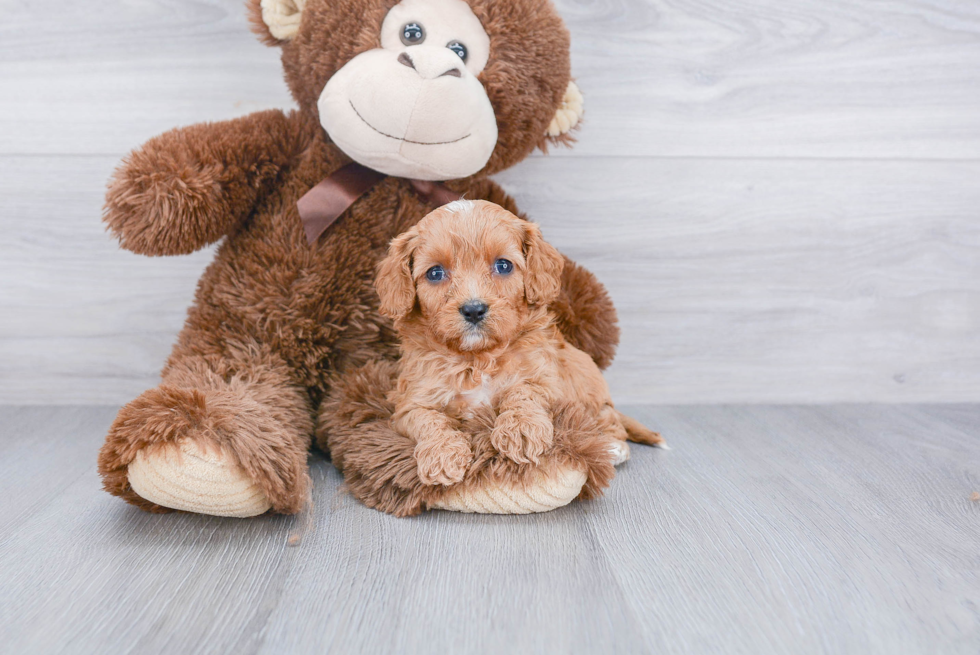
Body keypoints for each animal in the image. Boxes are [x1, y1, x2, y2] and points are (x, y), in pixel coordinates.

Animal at [378, 200, 664, 486]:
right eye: (435, 273)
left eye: (503, 266)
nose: (473, 309)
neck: (477, 358)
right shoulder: (410, 402)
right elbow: (427, 419)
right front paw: (442, 454)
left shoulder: (545, 377)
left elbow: (525, 391)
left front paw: (521, 430)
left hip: (584, 380)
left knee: (610, 419)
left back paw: (614, 447)